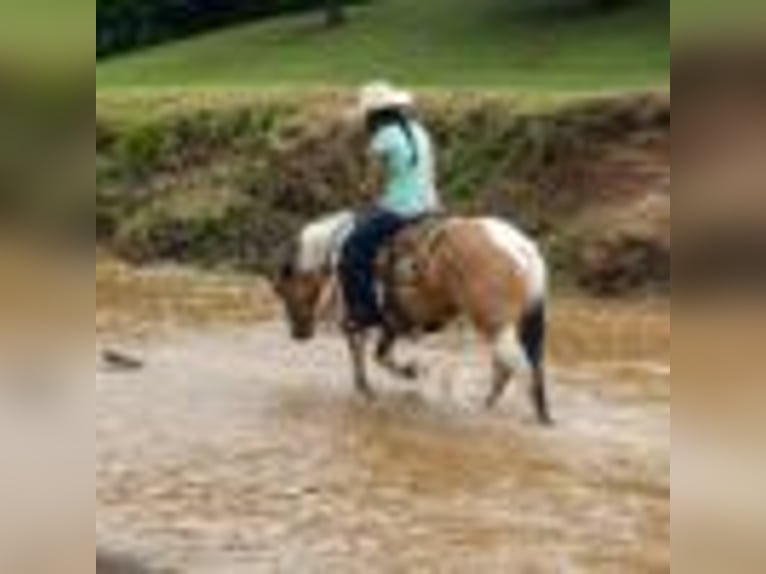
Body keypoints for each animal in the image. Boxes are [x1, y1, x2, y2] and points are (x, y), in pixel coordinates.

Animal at [272, 210, 553, 425]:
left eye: (283, 291)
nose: (298, 333)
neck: (336, 251)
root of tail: (520, 248)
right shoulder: (392, 322)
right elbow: (372, 353)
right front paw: (376, 385)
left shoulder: (364, 317)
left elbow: (371, 353)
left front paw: (403, 375)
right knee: (515, 365)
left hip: (495, 325)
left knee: (516, 366)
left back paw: (530, 412)